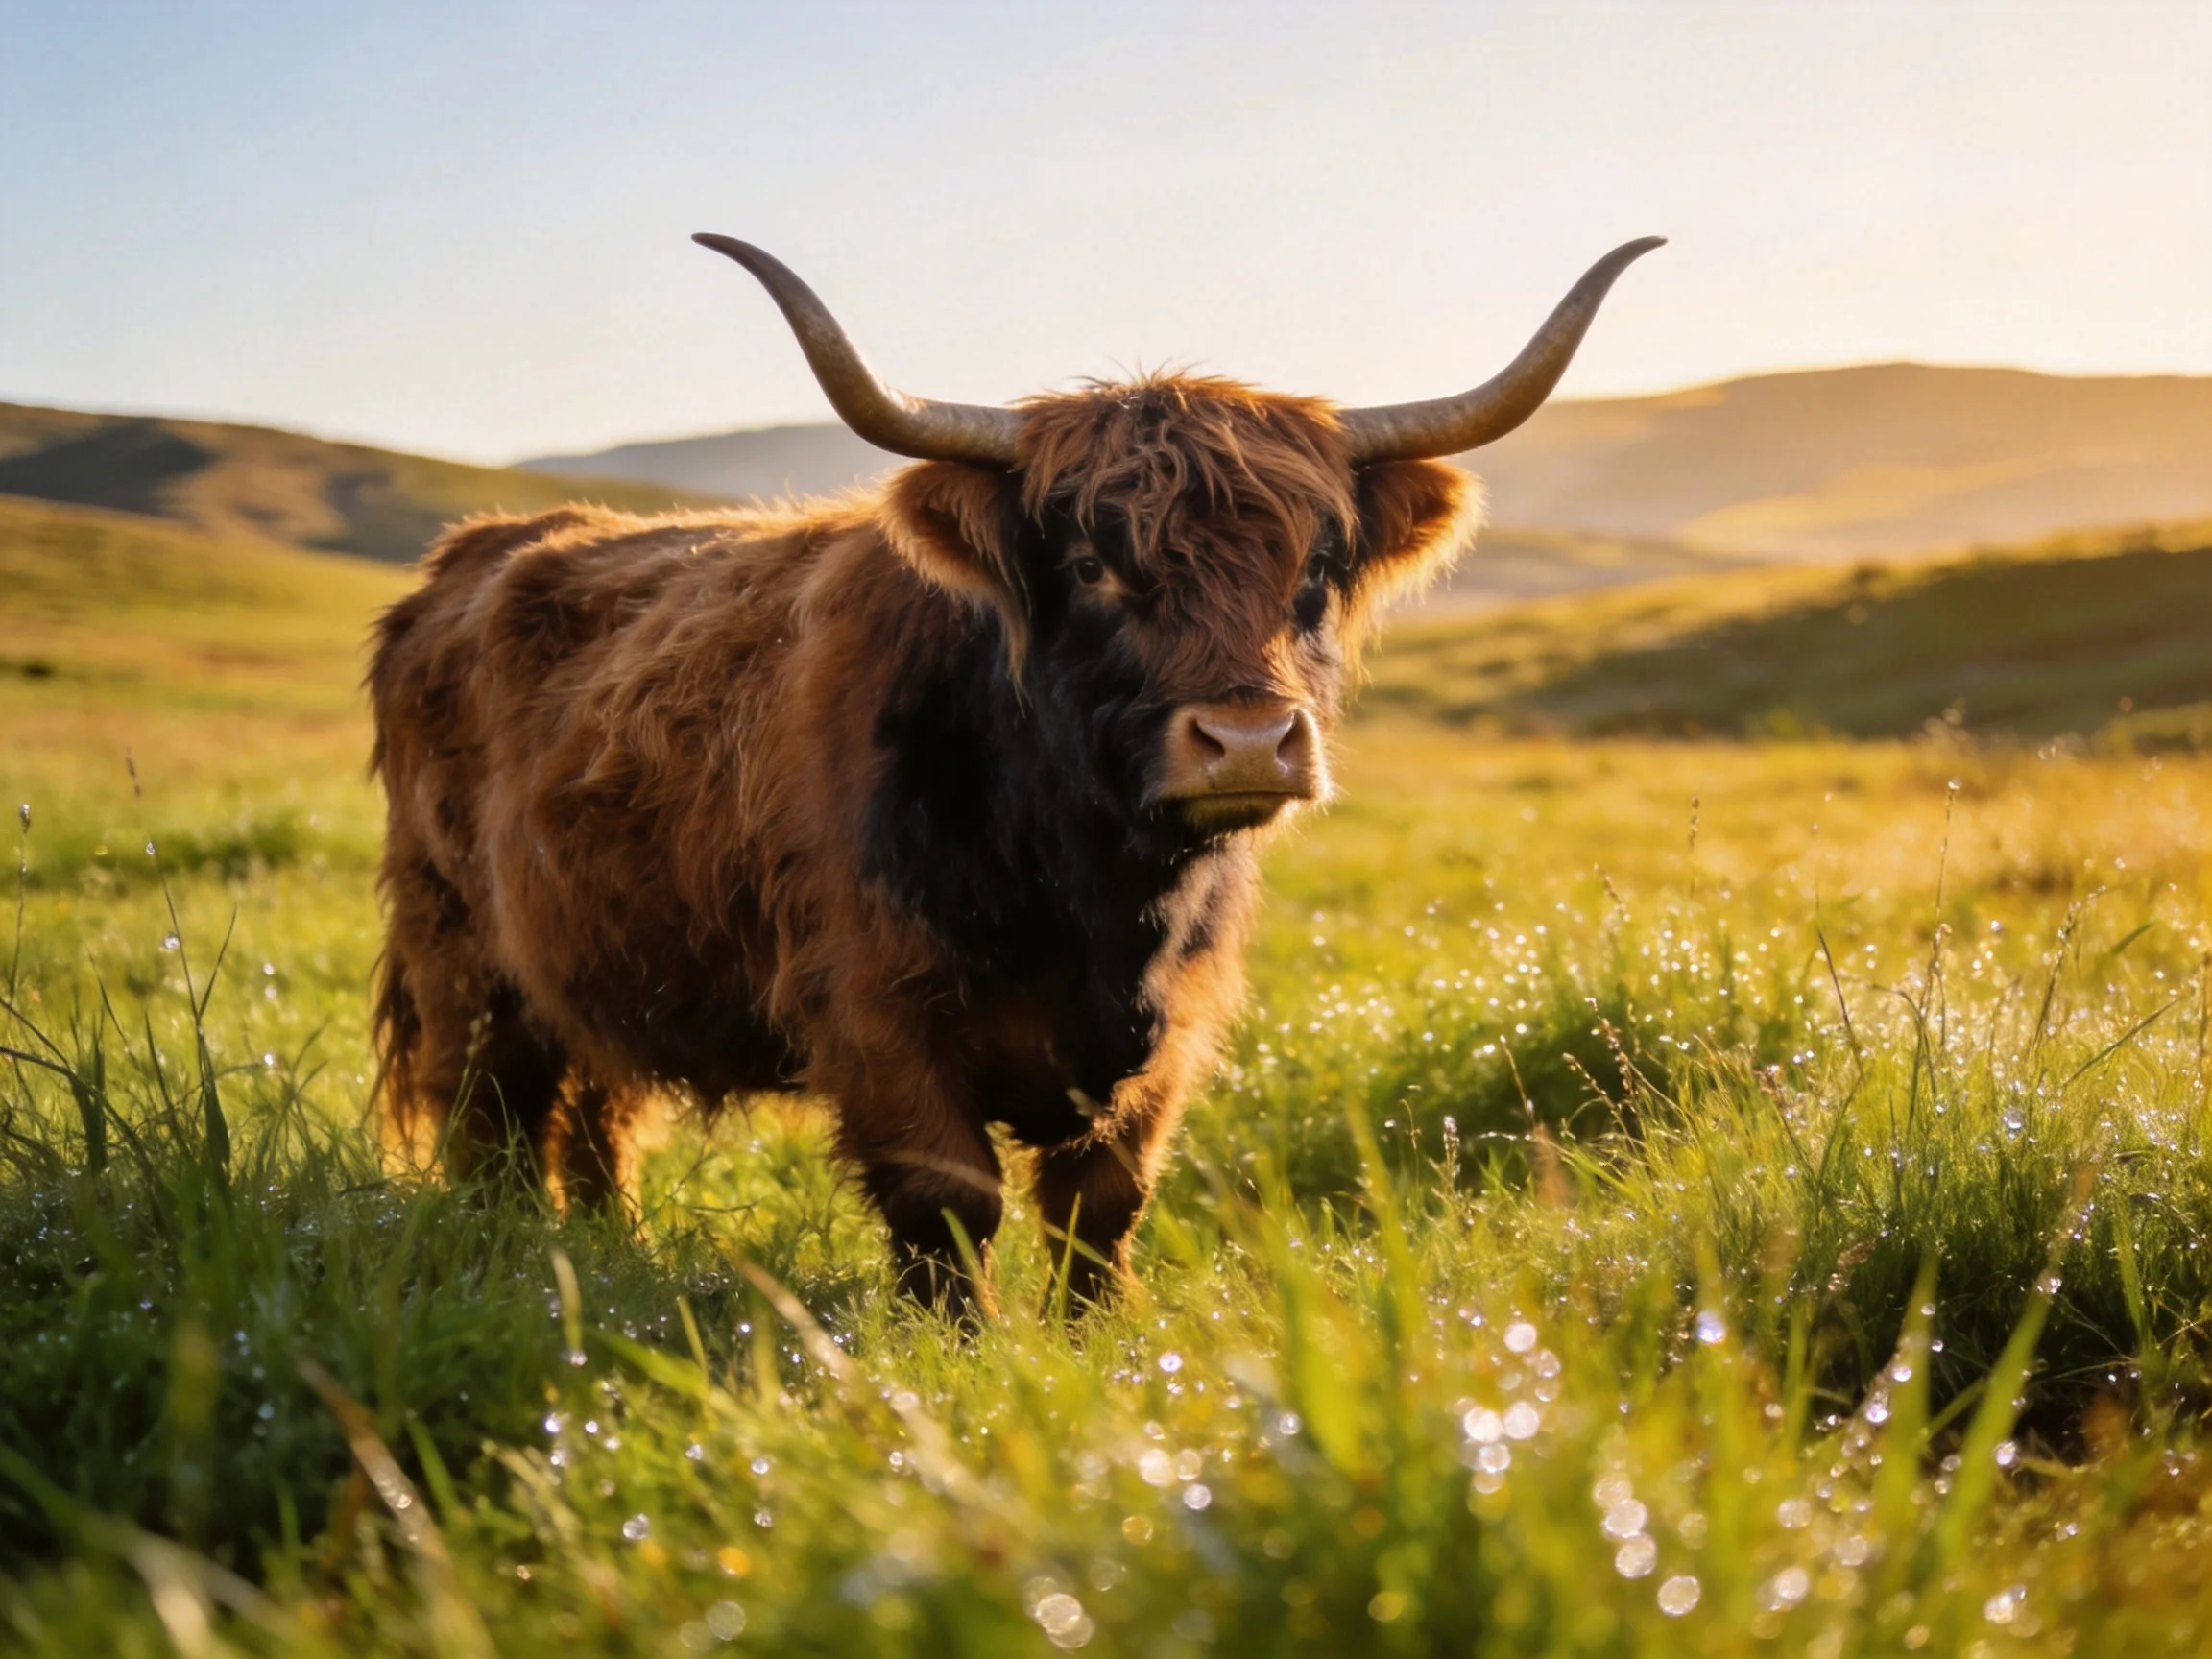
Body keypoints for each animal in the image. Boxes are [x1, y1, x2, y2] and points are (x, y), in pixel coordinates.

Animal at [368, 233, 1660, 1314]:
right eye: (1091, 564)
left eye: (1315, 567)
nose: (1248, 741)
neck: (1089, 891)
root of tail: (475, 554)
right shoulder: (875, 1012)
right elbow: (951, 1204)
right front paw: (959, 1356)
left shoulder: (1171, 1031)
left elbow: (1102, 1207)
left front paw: (1099, 1346)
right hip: (462, 958)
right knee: (488, 1123)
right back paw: (508, 1267)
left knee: (596, 1119)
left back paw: (607, 1255)